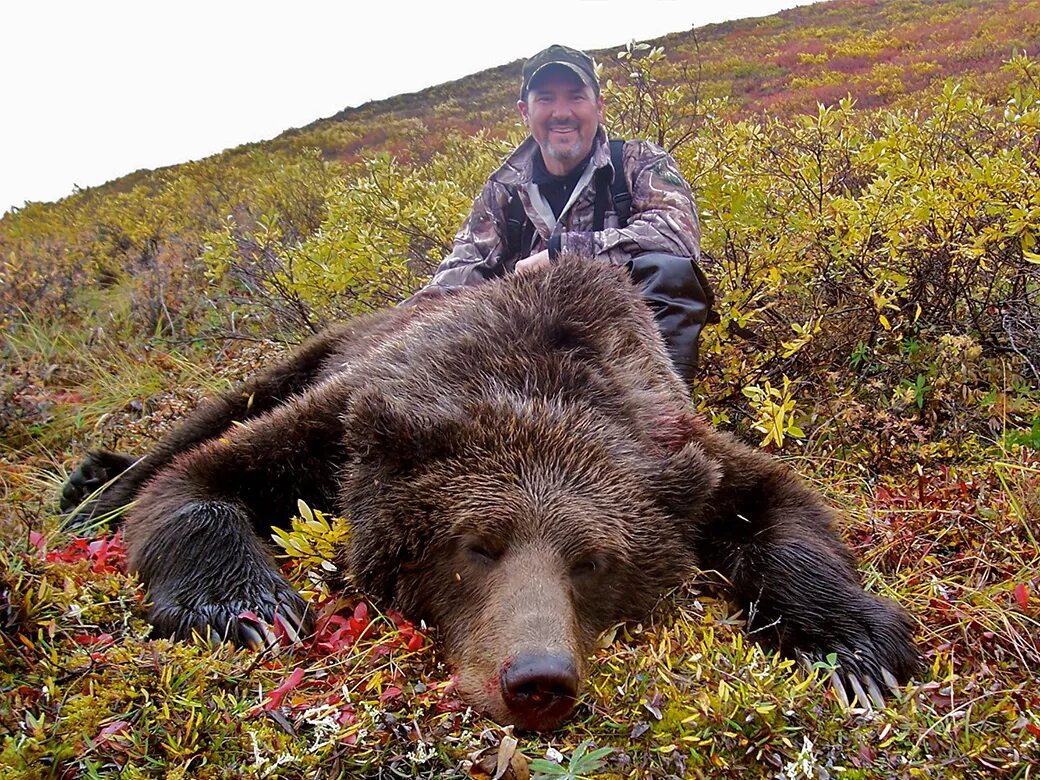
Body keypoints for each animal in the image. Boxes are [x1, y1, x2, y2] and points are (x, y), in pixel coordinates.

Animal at [60, 256, 915, 732]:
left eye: (591, 562)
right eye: (476, 545)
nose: (537, 679)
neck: (532, 380)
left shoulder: (673, 440)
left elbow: (781, 509)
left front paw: (855, 650)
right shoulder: (354, 413)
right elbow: (200, 479)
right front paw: (249, 610)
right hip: (323, 350)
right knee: (203, 424)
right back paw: (88, 492)